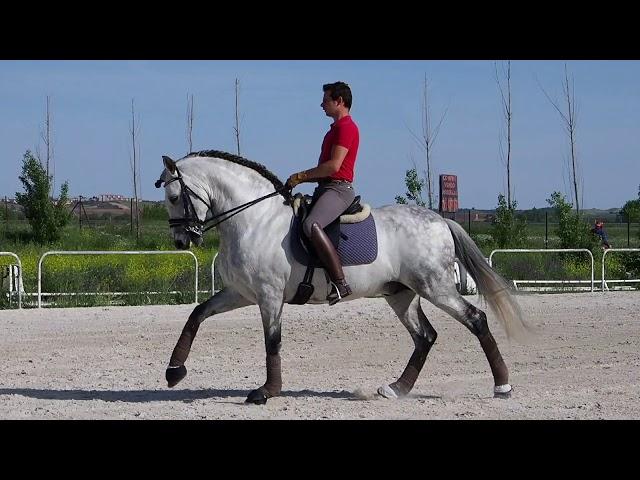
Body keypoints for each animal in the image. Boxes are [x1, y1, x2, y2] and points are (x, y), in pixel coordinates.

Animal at [158, 151, 528, 404]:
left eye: (174, 197)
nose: (181, 241)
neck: (254, 219)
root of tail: (441, 221)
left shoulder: (268, 295)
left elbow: (272, 341)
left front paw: (267, 391)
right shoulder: (241, 293)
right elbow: (197, 314)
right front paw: (174, 372)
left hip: (435, 287)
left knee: (475, 319)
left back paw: (502, 386)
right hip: (401, 295)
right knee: (425, 336)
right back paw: (397, 388)